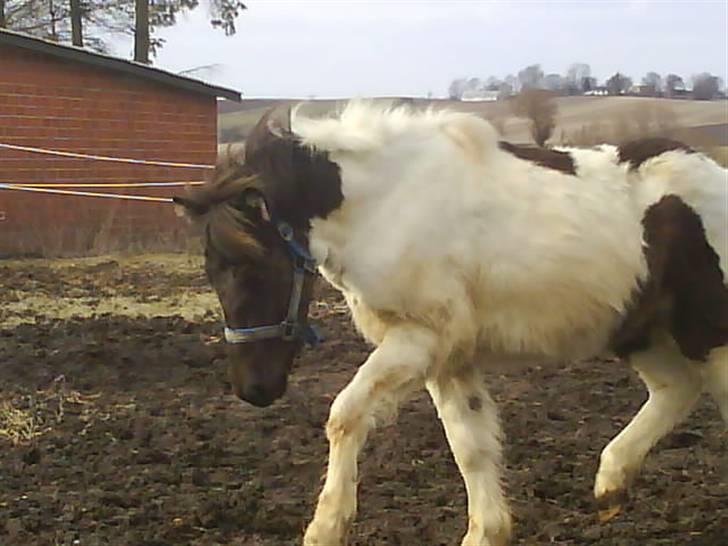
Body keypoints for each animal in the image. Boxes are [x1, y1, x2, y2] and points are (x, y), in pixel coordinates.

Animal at [176, 102, 728, 544]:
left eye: (249, 264)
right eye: (212, 268)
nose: (253, 389)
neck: (387, 203)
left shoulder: (419, 337)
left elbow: (344, 415)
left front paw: (326, 527)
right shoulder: (448, 357)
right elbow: (471, 446)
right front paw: (488, 531)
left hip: (706, 330)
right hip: (643, 330)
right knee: (675, 389)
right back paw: (611, 484)